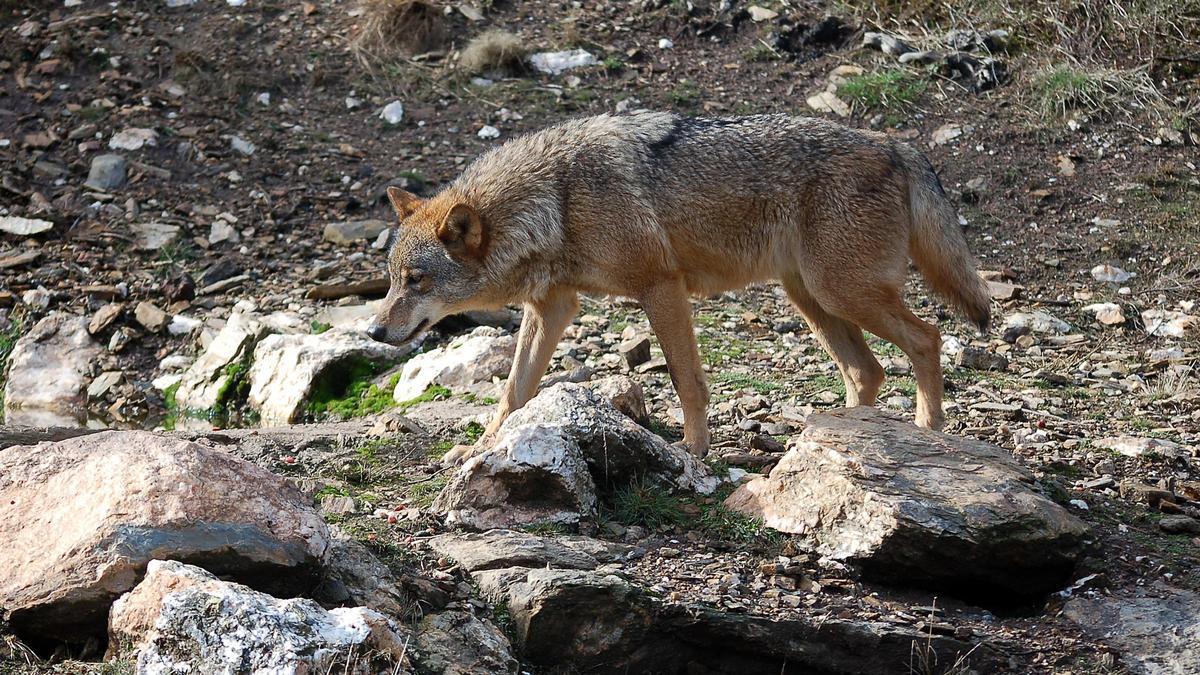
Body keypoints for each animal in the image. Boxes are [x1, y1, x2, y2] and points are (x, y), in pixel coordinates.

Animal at [366, 112, 990, 461]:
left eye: (417, 281)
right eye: (392, 281)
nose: (372, 330)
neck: (556, 201)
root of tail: (895, 143)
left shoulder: (660, 287)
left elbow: (687, 381)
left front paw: (691, 450)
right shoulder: (553, 306)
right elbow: (514, 392)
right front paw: (480, 447)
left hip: (842, 292)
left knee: (927, 338)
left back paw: (927, 431)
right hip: (812, 297)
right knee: (868, 371)